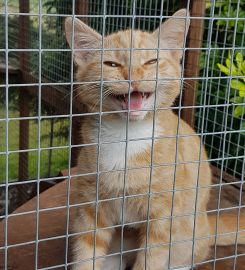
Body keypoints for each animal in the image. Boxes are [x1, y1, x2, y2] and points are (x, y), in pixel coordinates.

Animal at [64, 8, 245, 270]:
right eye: (111, 64)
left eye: (151, 61)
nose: (133, 77)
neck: (126, 135)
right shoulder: (91, 207)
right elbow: (87, 253)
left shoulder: (163, 216)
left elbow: (152, 258)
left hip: (186, 236)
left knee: (191, 253)